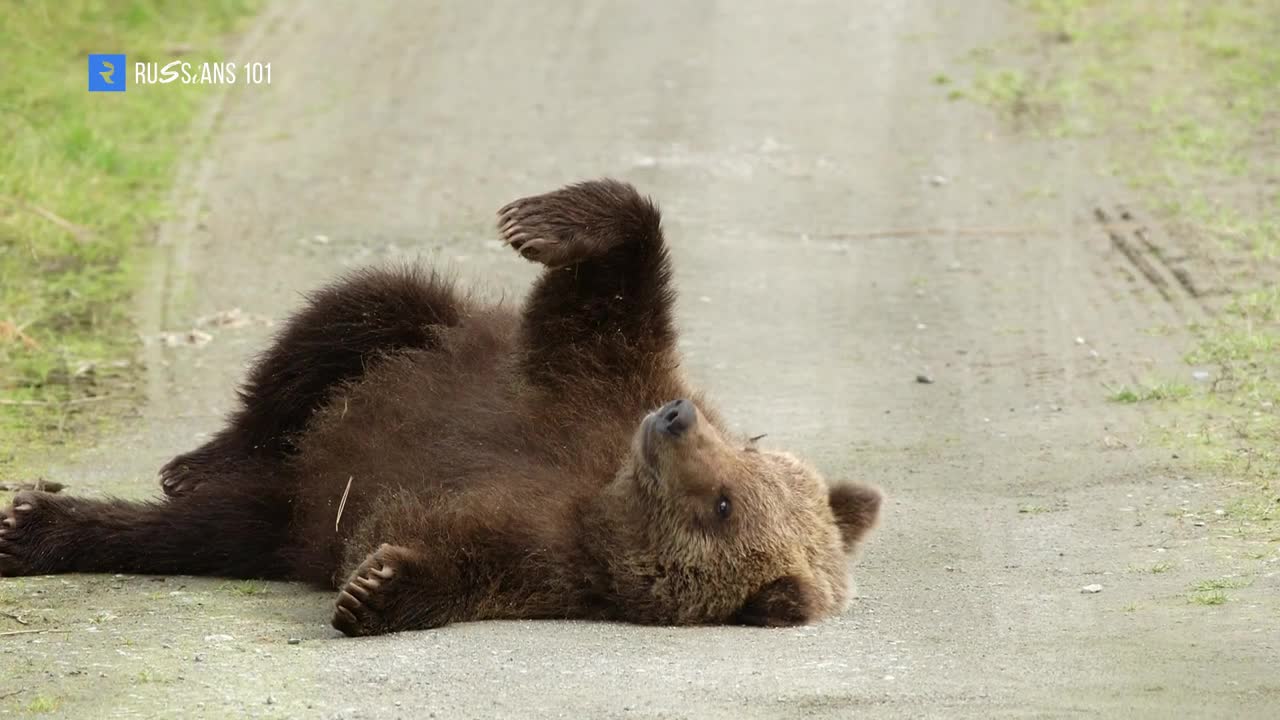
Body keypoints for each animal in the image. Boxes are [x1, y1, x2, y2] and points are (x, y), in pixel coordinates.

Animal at [0, 179, 880, 632]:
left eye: (725, 503)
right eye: (750, 447)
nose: (675, 420)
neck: (602, 490)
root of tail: (293, 477)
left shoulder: (547, 559)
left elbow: (443, 554)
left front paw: (377, 588)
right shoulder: (587, 385)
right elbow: (606, 294)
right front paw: (544, 219)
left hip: (289, 519)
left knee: (199, 532)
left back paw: (39, 525)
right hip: (424, 340)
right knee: (352, 313)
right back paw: (199, 458)